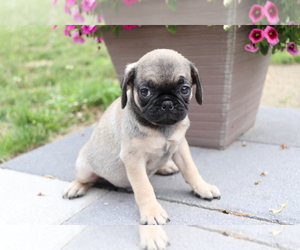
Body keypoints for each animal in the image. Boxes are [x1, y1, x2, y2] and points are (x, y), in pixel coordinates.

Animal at [62, 48, 220, 225]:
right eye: (145, 91)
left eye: (184, 89)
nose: (167, 103)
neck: (161, 128)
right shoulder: (134, 160)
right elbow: (144, 188)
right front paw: (152, 211)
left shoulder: (180, 146)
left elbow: (190, 169)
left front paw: (202, 187)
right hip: (84, 168)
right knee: (88, 180)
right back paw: (76, 186)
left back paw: (165, 166)